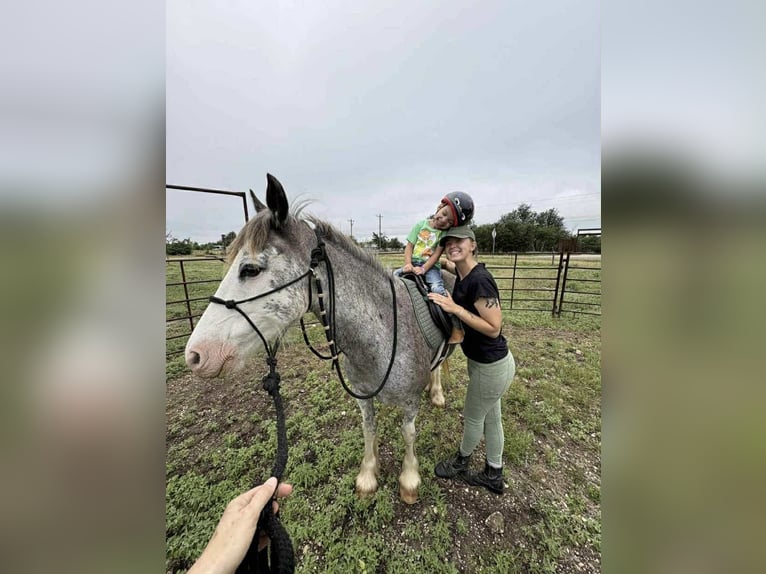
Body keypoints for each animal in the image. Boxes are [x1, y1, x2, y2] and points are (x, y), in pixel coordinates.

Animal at [184, 174, 450, 504]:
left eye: (250, 269)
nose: (195, 355)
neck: (384, 333)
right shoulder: (363, 397)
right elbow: (369, 428)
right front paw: (367, 476)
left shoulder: (409, 403)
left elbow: (409, 433)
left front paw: (410, 479)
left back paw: (437, 393)